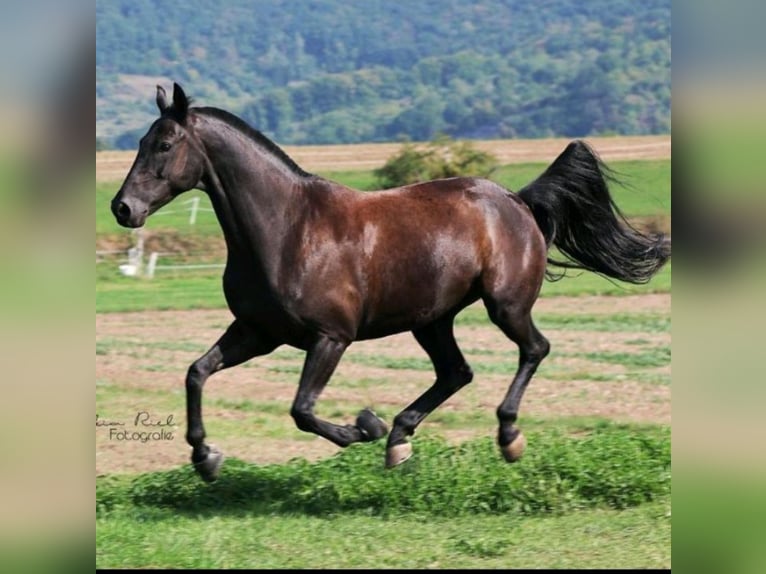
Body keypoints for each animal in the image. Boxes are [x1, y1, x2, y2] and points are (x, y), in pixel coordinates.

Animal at [109, 83, 672, 484]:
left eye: (164, 143)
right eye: (140, 141)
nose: (123, 208)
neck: (288, 228)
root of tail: (517, 200)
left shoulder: (330, 337)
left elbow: (302, 410)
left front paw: (364, 426)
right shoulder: (257, 332)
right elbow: (197, 372)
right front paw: (206, 457)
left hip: (505, 305)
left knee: (534, 349)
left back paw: (504, 435)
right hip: (432, 320)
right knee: (456, 372)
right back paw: (400, 441)